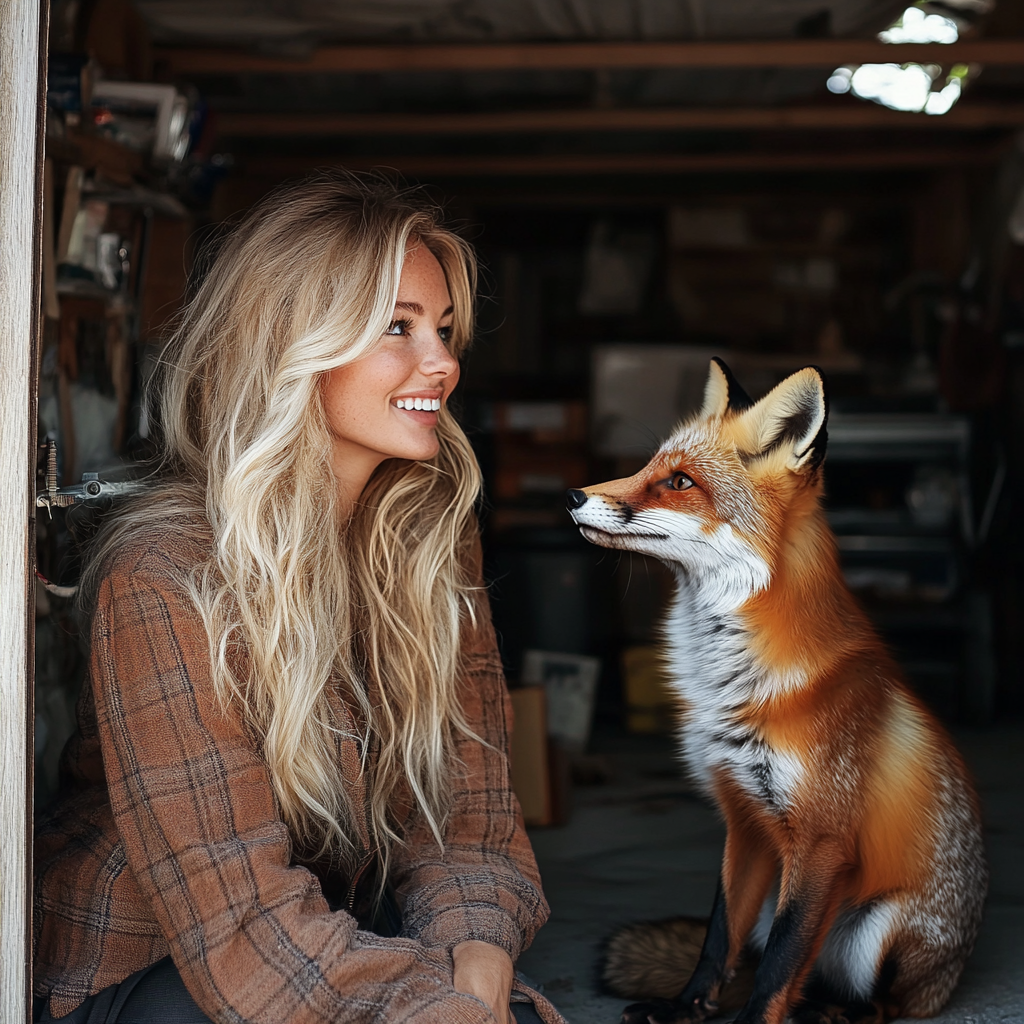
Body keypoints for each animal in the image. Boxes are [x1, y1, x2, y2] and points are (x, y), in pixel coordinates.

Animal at [565, 360, 987, 1024]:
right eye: (649, 467)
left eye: (679, 482)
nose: (574, 497)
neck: (730, 685)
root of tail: (948, 976)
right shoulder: (744, 820)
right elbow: (720, 937)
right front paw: (687, 1006)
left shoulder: (820, 839)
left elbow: (785, 955)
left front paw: (754, 1017)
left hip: (878, 926)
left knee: (875, 1001)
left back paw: (833, 1012)